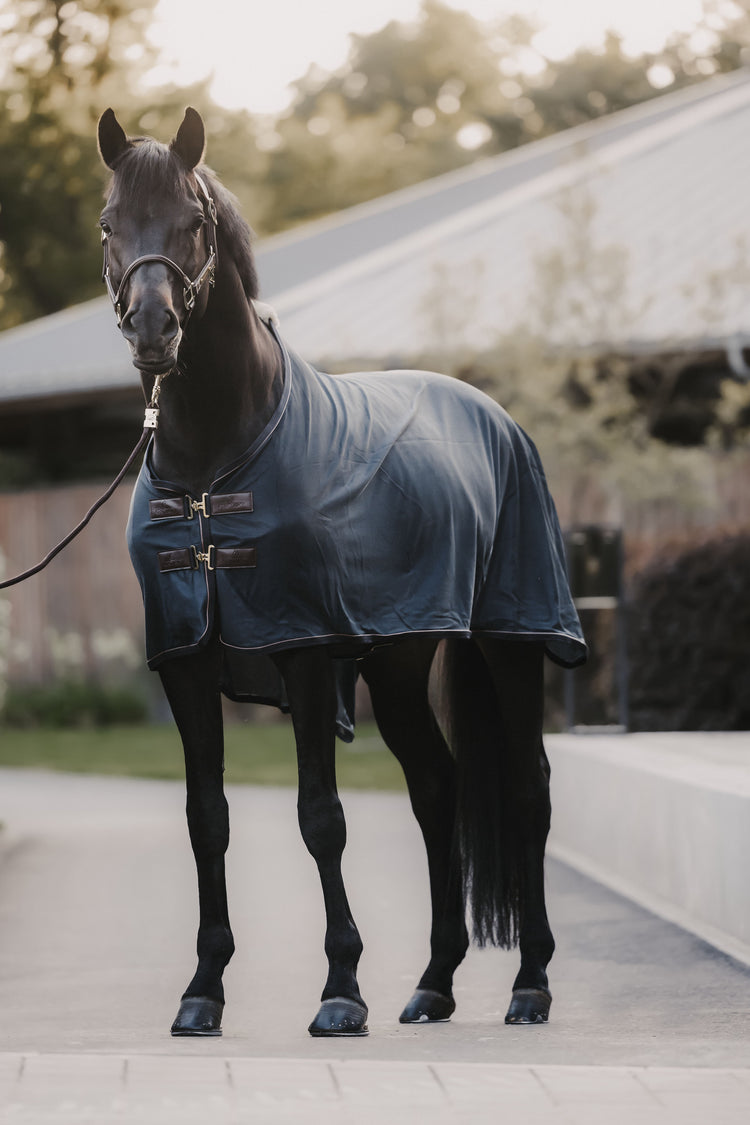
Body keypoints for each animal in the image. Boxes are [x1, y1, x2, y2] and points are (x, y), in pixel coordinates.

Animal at [95, 107, 584, 1035]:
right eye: (109, 224)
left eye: (194, 220)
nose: (152, 331)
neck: (217, 457)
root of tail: (496, 416)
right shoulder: (186, 663)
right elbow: (205, 819)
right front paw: (202, 991)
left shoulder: (308, 652)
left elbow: (320, 817)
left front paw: (341, 989)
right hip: (397, 663)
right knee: (437, 786)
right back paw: (433, 984)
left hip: (510, 640)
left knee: (530, 789)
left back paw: (532, 983)